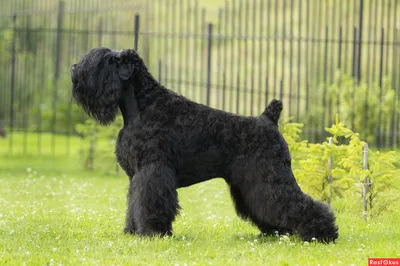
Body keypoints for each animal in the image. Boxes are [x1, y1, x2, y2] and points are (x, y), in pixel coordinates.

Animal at [71, 46, 338, 242]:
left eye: (106, 62)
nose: (74, 70)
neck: (144, 105)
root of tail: (268, 118)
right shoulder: (136, 176)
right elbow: (133, 204)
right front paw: (131, 232)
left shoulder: (152, 171)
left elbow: (149, 202)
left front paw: (153, 232)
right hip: (249, 183)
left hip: (269, 176)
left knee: (296, 202)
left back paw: (322, 233)